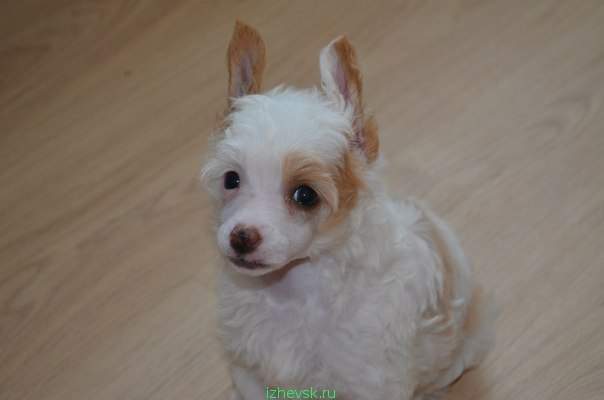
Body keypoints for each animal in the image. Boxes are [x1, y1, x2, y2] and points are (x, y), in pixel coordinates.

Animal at [202, 21, 495, 400]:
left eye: (305, 195)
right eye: (231, 179)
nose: (241, 237)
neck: (292, 291)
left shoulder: (370, 381)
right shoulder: (249, 372)